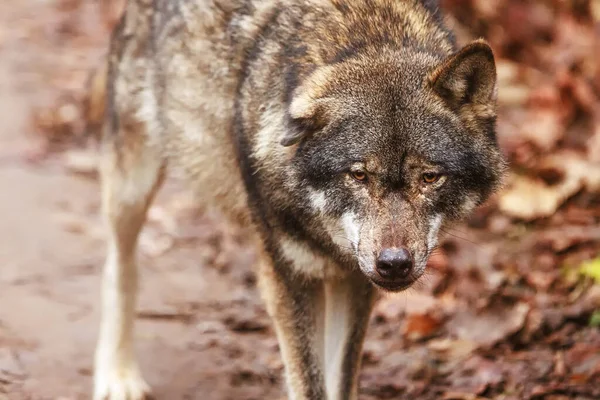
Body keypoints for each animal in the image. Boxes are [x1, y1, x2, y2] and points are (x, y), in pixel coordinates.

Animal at [90, 0, 506, 398]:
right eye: (358, 175)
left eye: (430, 177)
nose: (394, 264)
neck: (368, 36)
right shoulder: (290, 278)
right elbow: (309, 383)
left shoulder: (353, 280)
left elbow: (341, 380)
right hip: (132, 186)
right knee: (119, 267)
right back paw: (118, 375)